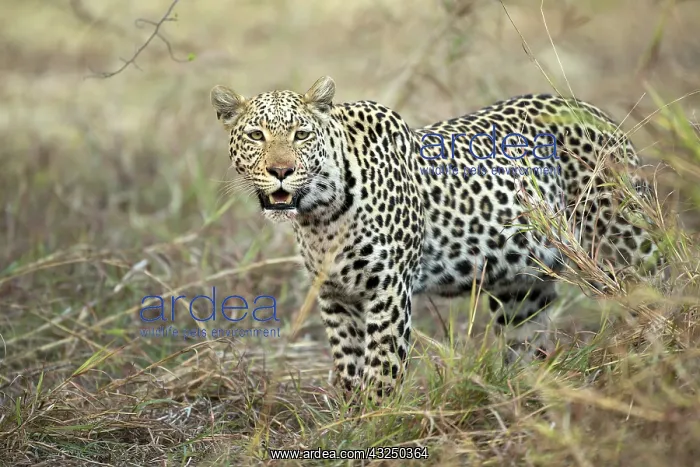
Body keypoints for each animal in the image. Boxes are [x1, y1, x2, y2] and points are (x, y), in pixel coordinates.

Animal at [209, 76, 661, 403]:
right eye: (255, 136)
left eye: (301, 135)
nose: (281, 170)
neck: (321, 213)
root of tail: (597, 113)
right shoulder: (335, 296)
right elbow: (349, 369)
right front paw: (347, 421)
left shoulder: (388, 291)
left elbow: (381, 370)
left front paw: (373, 428)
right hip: (522, 288)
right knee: (526, 344)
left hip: (620, 244)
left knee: (656, 290)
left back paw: (655, 357)